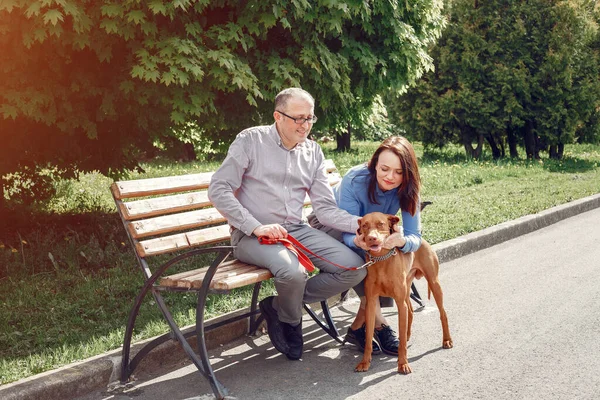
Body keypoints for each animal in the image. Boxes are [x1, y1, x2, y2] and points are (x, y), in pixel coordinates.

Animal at [354, 212, 452, 376]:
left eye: (380, 224)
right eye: (365, 226)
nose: (371, 238)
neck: (381, 260)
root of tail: (420, 238)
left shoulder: (399, 303)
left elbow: (402, 343)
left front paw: (403, 364)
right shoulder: (371, 304)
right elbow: (368, 338)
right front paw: (364, 362)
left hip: (434, 283)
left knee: (442, 313)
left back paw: (446, 340)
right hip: (407, 289)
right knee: (411, 311)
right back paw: (405, 336)